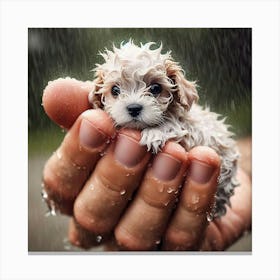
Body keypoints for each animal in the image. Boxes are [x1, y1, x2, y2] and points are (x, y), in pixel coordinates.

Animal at [88, 40, 240, 218]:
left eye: (155, 88)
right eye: (115, 90)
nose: (134, 108)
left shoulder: (193, 129)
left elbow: (175, 125)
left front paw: (154, 134)